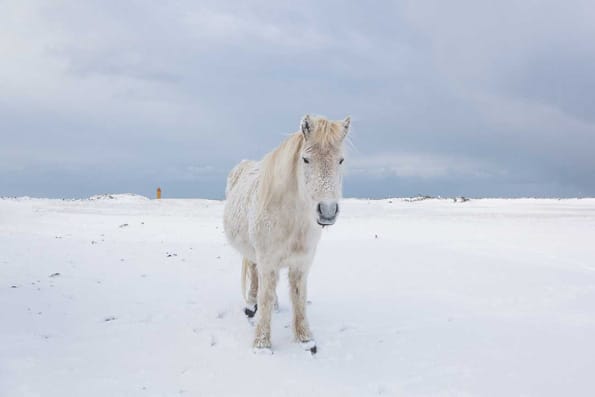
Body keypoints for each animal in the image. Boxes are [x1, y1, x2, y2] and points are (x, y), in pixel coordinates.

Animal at [224, 114, 350, 352]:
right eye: (306, 159)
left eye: (341, 160)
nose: (327, 211)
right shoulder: (267, 258)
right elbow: (264, 296)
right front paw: (262, 344)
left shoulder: (301, 263)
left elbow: (299, 297)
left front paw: (305, 339)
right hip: (254, 253)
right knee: (256, 276)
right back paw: (251, 304)